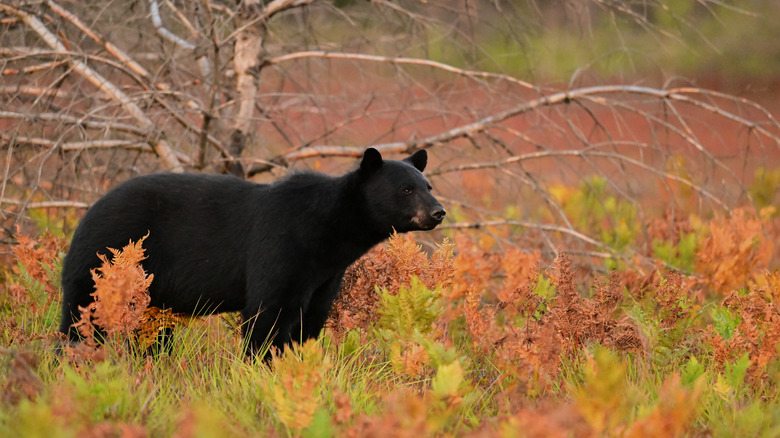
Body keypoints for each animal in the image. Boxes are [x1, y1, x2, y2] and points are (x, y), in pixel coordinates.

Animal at [58, 147, 445, 358]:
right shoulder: (281, 245)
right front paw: (259, 367)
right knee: (84, 315)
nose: (438, 212)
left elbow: (310, 320)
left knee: (150, 330)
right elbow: (268, 312)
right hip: (108, 260)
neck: (329, 231)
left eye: (428, 185)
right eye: (406, 189)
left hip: (150, 290)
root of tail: (87, 212)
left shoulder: (325, 274)